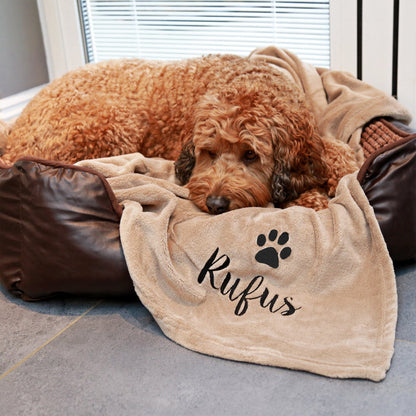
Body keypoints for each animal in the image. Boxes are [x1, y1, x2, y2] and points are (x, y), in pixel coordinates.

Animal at [0, 53, 358, 213]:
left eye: (251, 155)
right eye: (209, 153)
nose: (215, 203)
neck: (250, 83)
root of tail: (16, 128)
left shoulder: (311, 132)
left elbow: (338, 150)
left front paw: (338, 180)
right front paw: (312, 198)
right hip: (114, 123)